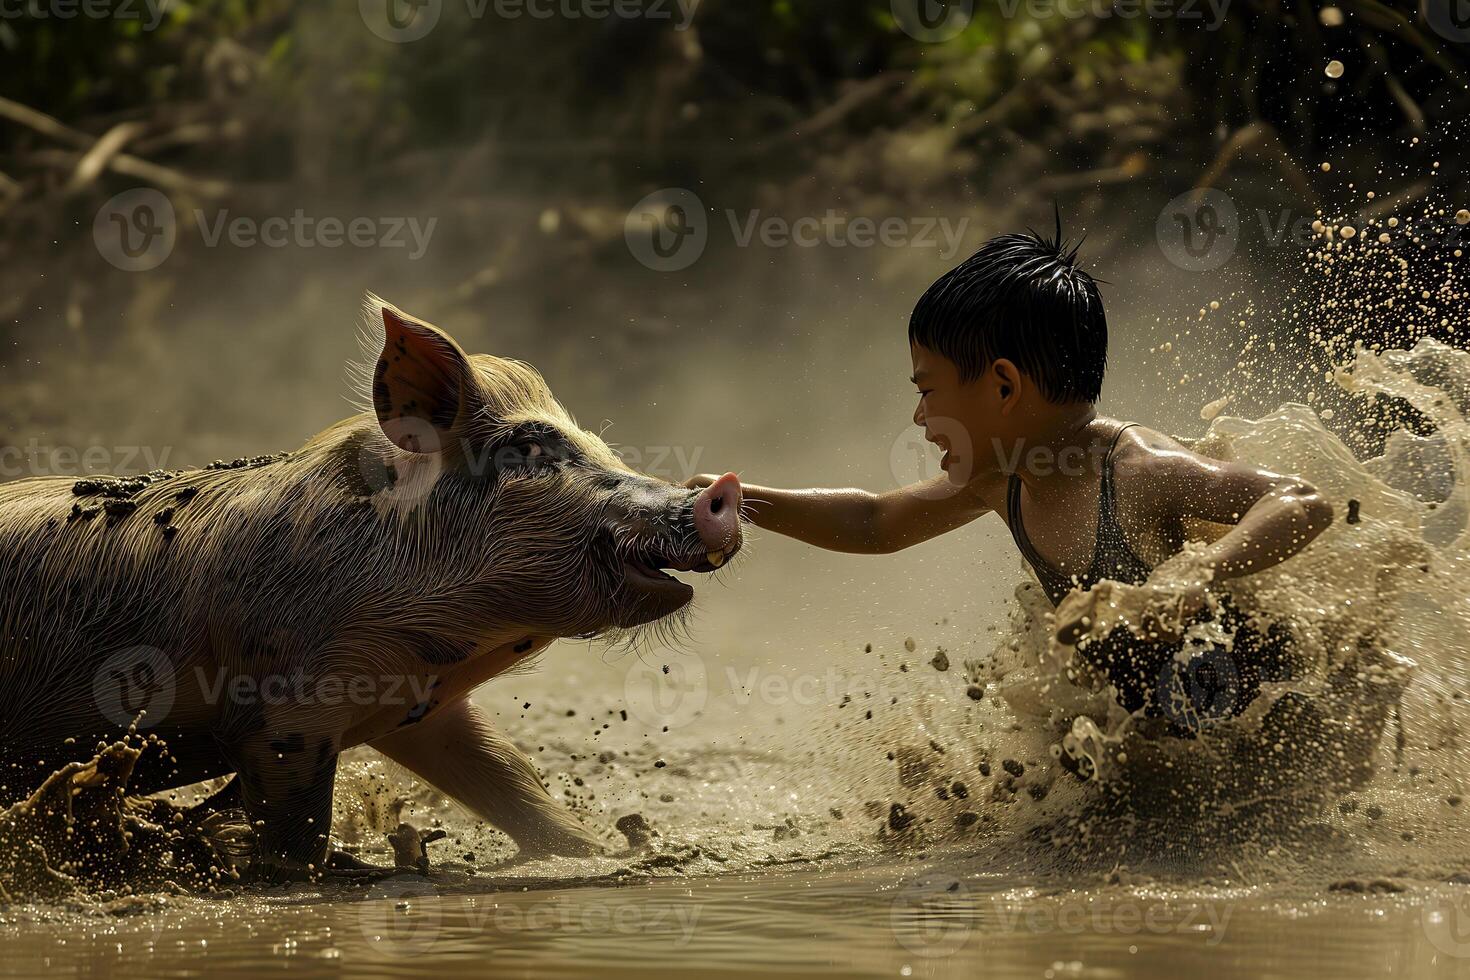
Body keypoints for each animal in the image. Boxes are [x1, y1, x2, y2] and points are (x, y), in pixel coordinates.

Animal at [0, 296, 740, 881]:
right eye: (528, 451)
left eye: (595, 442)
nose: (718, 490)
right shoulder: (285, 711)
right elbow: (296, 832)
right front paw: (321, 874)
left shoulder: (426, 711)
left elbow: (514, 782)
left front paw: (613, 851)